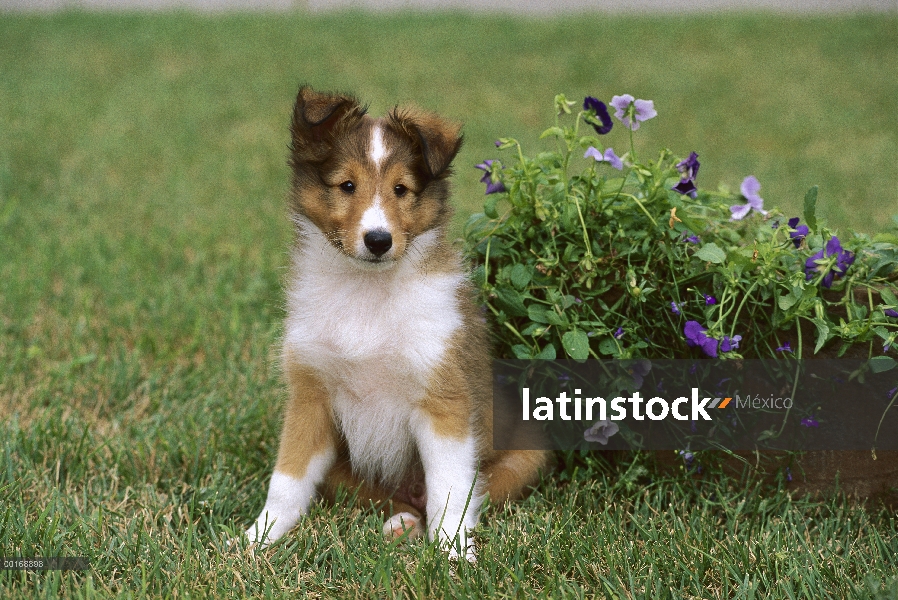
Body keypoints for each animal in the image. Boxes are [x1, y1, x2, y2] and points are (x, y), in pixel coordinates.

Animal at [242, 86, 544, 560]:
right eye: (347, 185)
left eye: (401, 189)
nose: (378, 240)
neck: (368, 291)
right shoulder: (310, 397)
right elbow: (286, 479)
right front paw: (258, 537)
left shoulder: (443, 400)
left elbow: (450, 490)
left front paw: (454, 555)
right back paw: (400, 524)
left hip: (527, 454)